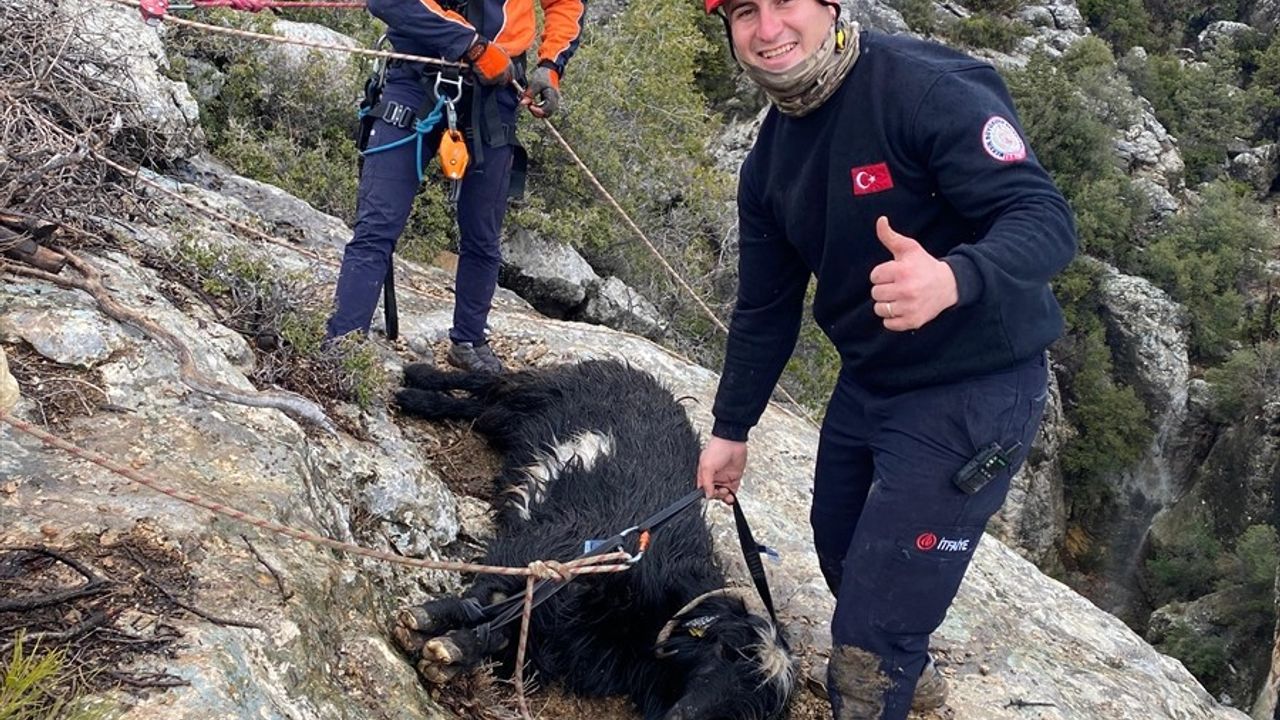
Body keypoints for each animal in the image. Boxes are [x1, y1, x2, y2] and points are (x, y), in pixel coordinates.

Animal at [391, 361, 788, 712]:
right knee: (487, 382)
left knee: (481, 409)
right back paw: (417, 383)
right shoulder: (556, 546)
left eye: (754, 707)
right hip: (538, 389)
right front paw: (433, 622)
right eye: (724, 650)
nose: (682, 715)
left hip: (512, 421)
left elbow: (507, 629)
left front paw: (453, 650)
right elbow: (496, 594)